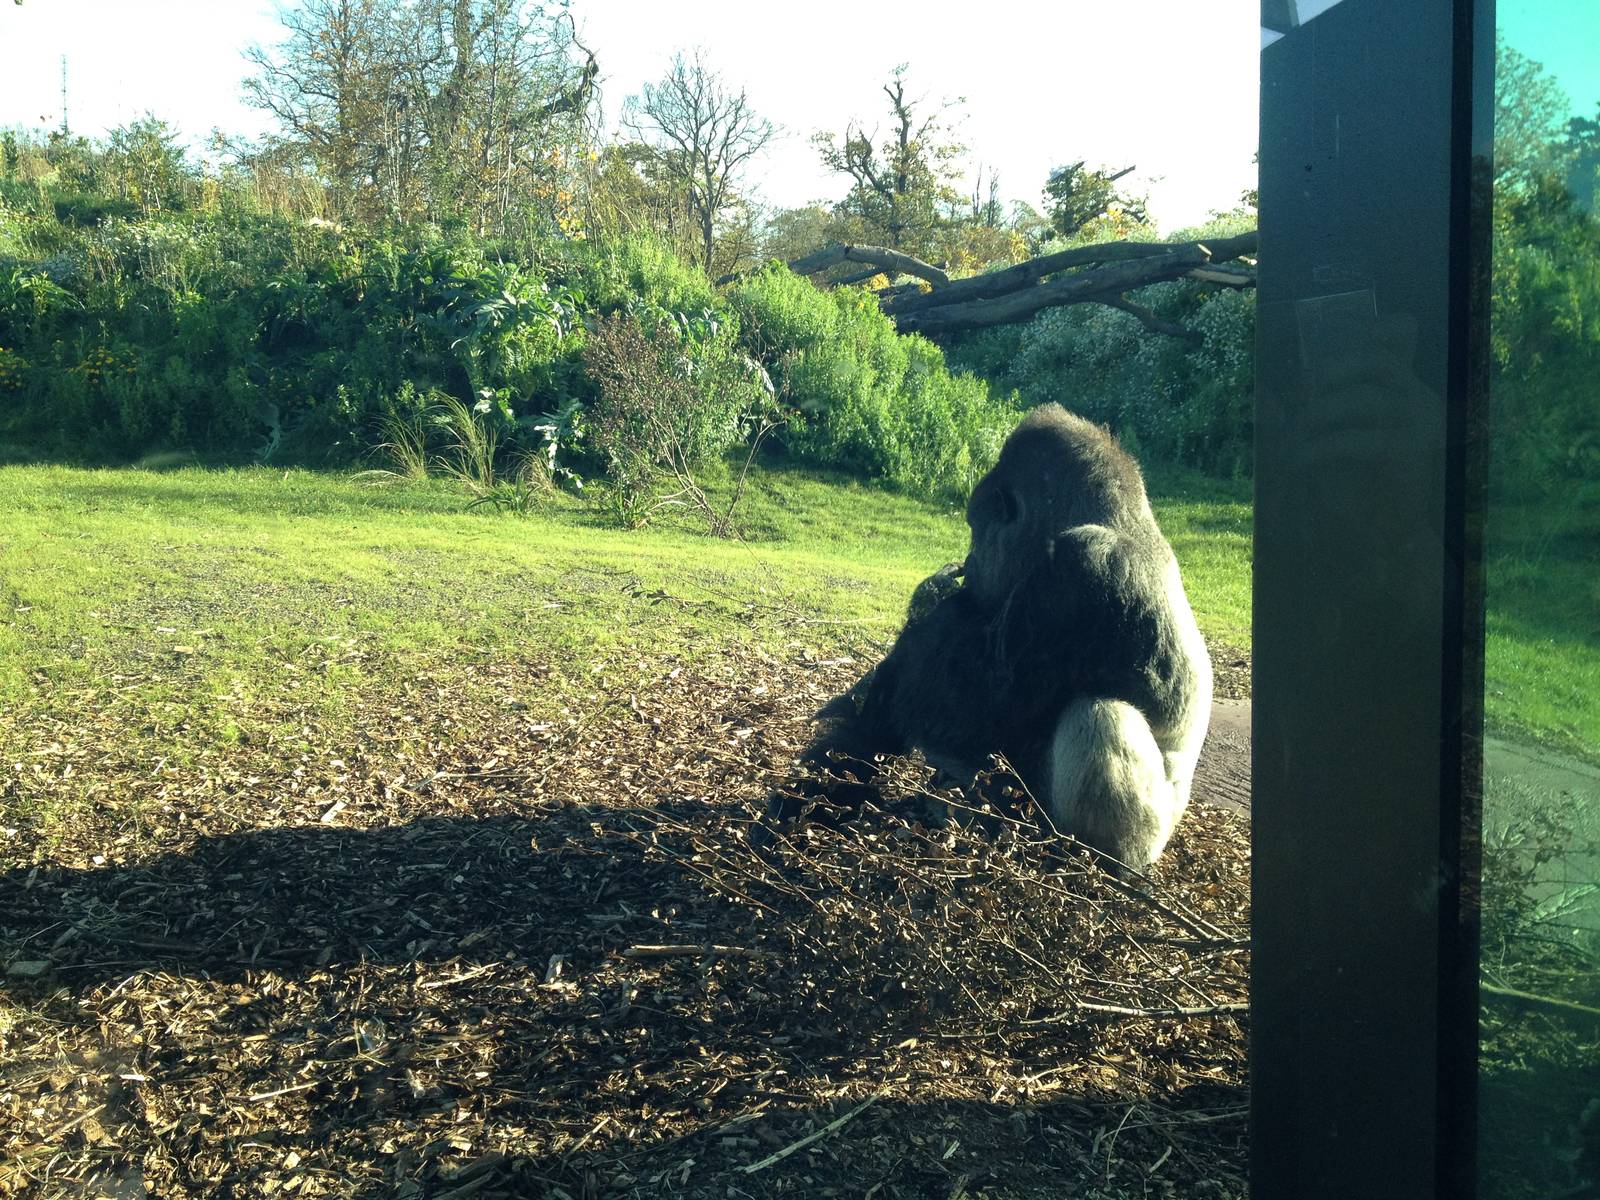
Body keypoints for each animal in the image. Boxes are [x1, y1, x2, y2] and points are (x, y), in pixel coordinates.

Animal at [770, 403, 1212, 870]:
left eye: (975, 528)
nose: (970, 562)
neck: (1120, 521)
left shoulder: (1089, 562)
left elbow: (973, 697)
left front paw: (932, 601)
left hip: (1146, 837)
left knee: (1099, 716)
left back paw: (1084, 858)